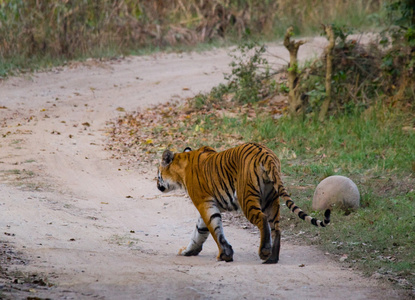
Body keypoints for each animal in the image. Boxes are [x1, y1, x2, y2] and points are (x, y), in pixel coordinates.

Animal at [157, 142, 332, 262]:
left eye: (158, 173)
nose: (157, 185)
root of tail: (267, 155)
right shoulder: (208, 204)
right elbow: (200, 231)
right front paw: (188, 251)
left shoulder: (204, 203)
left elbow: (214, 229)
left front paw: (224, 255)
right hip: (271, 200)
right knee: (276, 228)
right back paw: (272, 258)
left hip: (247, 197)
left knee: (262, 219)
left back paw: (264, 252)